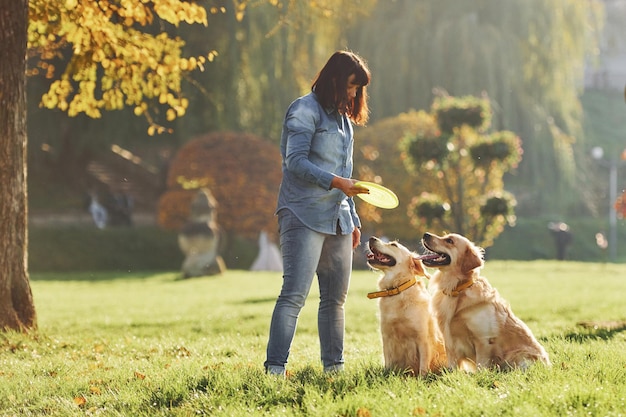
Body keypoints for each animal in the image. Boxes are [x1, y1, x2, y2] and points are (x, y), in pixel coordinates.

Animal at [364, 236, 446, 376]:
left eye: (394, 245)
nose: (371, 238)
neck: (397, 290)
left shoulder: (422, 338)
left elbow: (423, 367)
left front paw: (422, 379)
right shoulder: (386, 337)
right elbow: (388, 364)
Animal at [416, 231, 548, 370]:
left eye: (450, 241)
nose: (426, 234)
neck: (457, 289)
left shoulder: (483, 339)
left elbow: (481, 365)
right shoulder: (449, 340)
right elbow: (452, 365)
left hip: (517, 356)